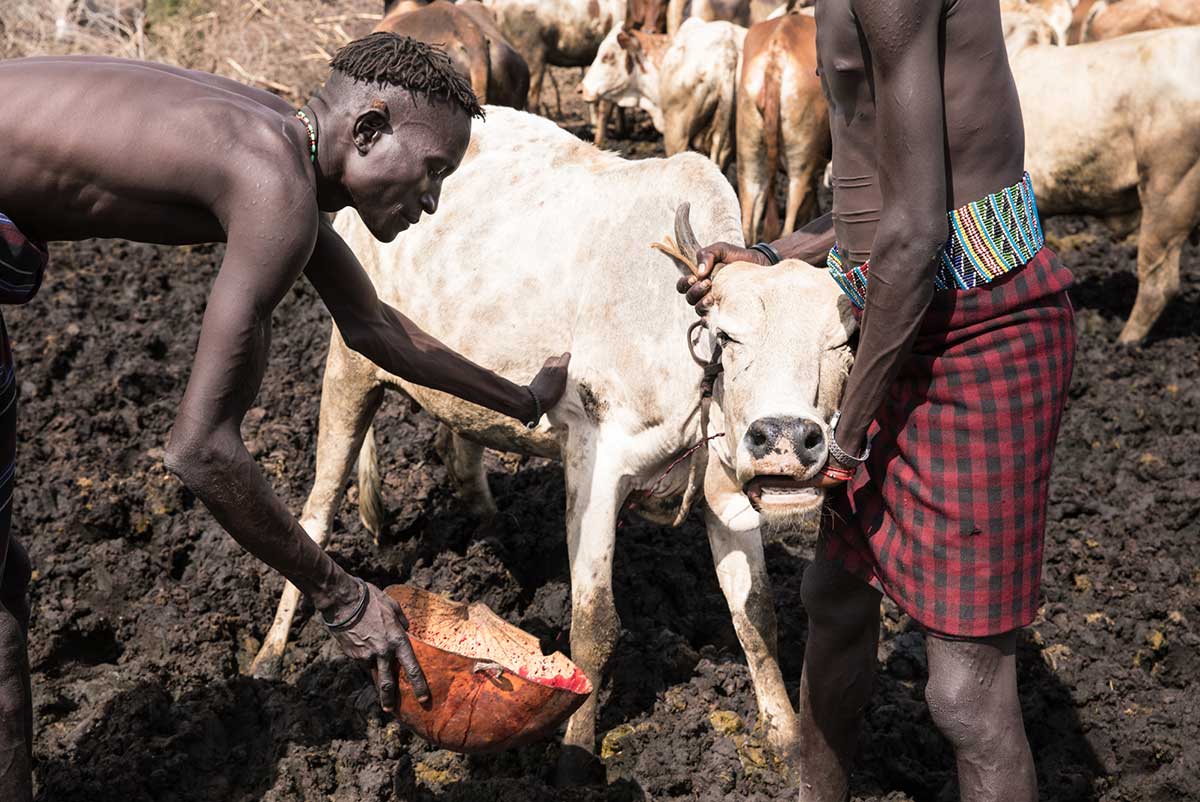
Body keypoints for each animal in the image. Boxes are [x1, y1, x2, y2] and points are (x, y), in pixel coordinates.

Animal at [250, 108, 854, 777]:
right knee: (317, 510)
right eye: (728, 336)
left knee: (461, 453)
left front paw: (787, 742)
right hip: (348, 366)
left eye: (842, 343)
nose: (787, 439)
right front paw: (575, 754)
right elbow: (595, 626)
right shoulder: (596, 464)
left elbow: (757, 617)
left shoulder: (725, 487)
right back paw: (271, 654)